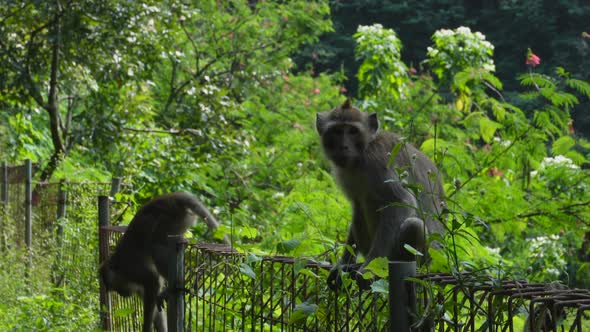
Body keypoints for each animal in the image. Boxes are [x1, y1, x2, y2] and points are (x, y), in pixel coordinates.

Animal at [100, 191, 216, 330]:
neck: (118, 265)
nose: (122, 294)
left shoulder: (132, 269)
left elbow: (153, 280)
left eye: (116, 288)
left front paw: (146, 328)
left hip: (170, 219)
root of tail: (174, 197)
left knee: (156, 245)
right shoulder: (137, 286)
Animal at [316, 98, 446, 288]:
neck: (362, 153)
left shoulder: (379, 162)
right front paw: (343, 264)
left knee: (413, 225)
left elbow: (401, 202)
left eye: (353, 131)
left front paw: (369, 270)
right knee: (361, 207)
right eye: (337, 131)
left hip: (427, 259)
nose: (343, 147)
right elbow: (356, 204)